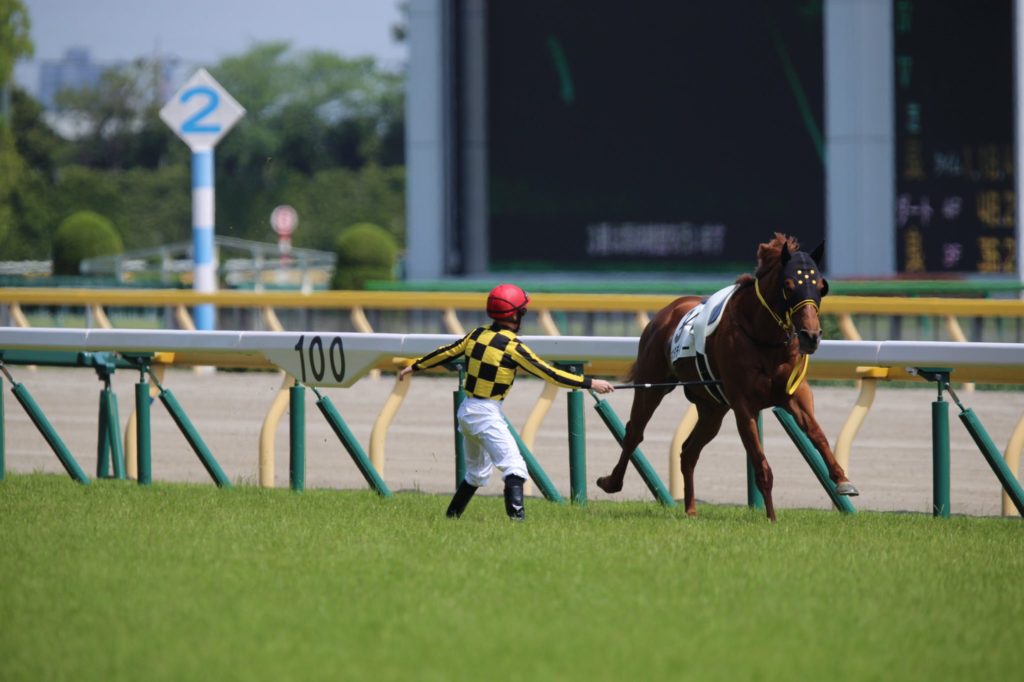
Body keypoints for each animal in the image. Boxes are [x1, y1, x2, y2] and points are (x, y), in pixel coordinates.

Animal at [598, 233, 860, 520]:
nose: (811, 336)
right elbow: (761, 464)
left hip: (712, 407)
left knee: (688, 451)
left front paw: (843, 480)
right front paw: (771, 517)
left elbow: (817, 433)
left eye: (821, 286)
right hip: (652, 385)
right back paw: (611, 482)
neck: (763, 337)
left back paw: (691, 509)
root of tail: (666, 312)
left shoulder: (794, 394)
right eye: (789, 285)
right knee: (634, 432)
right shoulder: (744, 405)